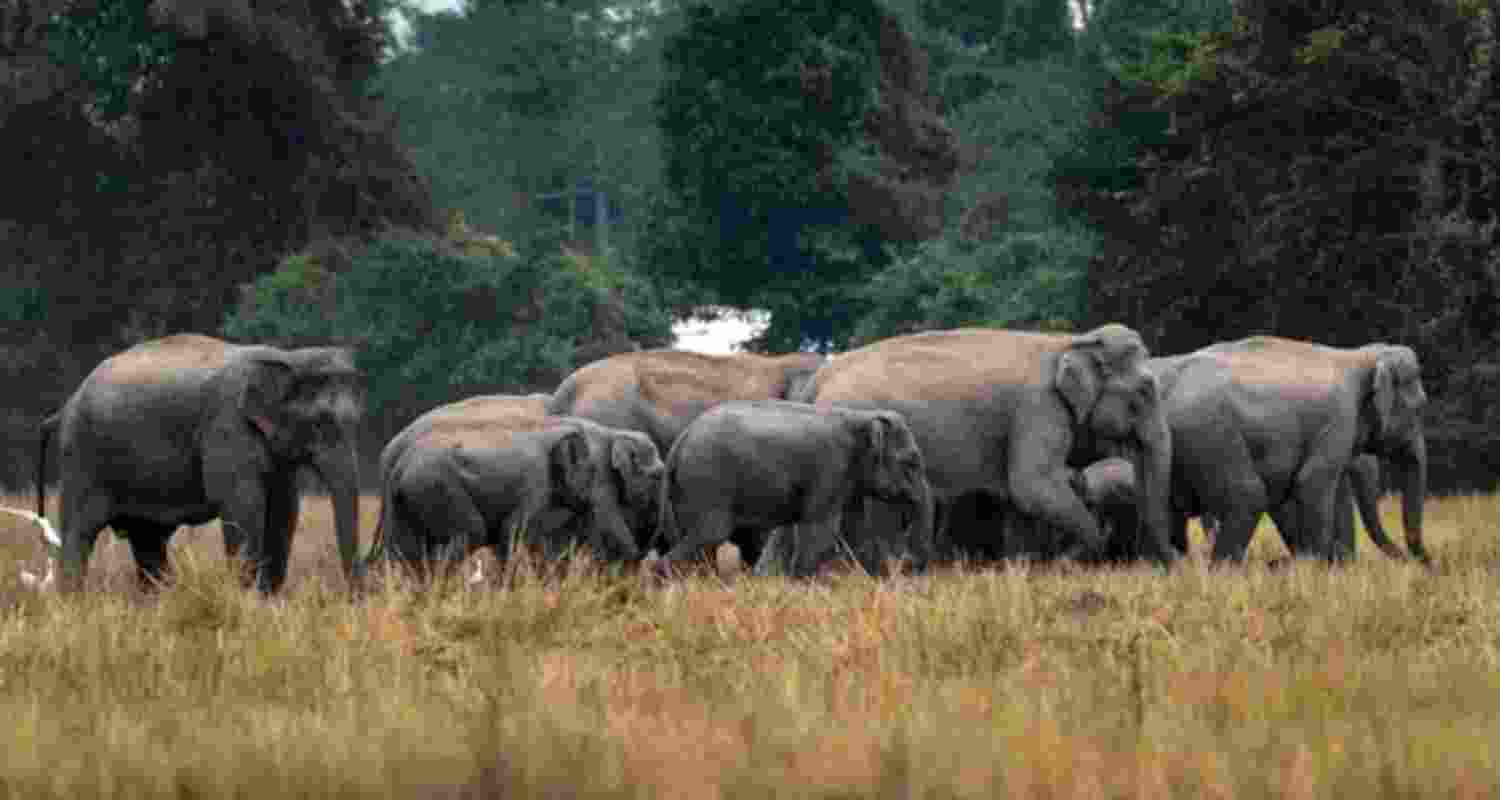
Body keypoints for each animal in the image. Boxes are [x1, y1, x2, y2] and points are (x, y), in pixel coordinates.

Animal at [38, 334, 364, 593]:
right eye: (320, 424)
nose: (354, 598)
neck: (289, 357)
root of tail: (65, 407)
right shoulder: (227, 426)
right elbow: (242, 506)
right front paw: (245, 597)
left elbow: (284, 509)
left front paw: (267, 600)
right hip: (81, 457)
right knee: (80, 534)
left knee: (147, 541)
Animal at [369, 402, 664, 579]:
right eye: (657, 476)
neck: (615, 433)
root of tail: (397, 463)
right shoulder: (549, 485)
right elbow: (513, 532)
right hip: (437, 487)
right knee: (470, 532)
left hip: (406, 499)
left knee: (404, 551)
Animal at [654, 400, 932, 578]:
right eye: (911, 462)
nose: (908, 564)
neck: (861, 416)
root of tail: (680, 441)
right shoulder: (830, 467)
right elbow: (821, 531)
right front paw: (801, 585)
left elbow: (856, 531)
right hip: (707, 483)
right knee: (710, 535)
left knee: (700, 546)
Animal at [794, 324, 1177, 570]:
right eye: (1145, 390)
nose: (1171, 562)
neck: (1069, 343)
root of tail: (817, 381)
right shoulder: (1038, 408)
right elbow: (1032, 485)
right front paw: (1069, 562)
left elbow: (1022, 501)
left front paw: (1026, 569)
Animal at [1145, 336, 1427, 564]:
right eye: (1420, 407)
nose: (1425, 564)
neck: (1361, 355)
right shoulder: (1338, 419)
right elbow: (1312, 483)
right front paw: (1316, 568)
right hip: (1211, 433)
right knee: (1248, 495)